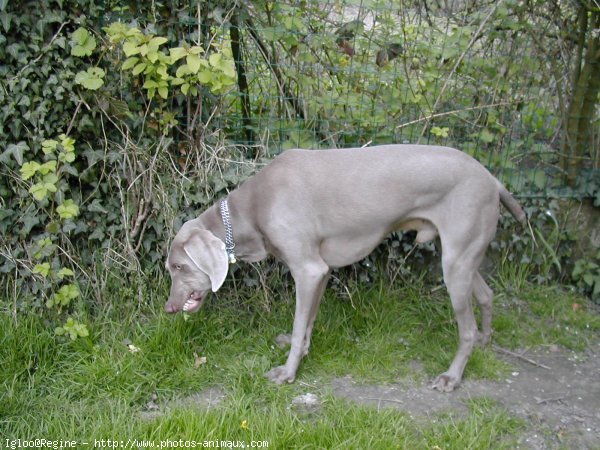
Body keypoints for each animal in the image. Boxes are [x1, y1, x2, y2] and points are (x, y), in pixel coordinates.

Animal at [164, 146, 524, 392]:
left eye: (178, 266)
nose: (169, 308)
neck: (252, 208)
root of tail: (492, 178)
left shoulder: (308, 270)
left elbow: (299, 323)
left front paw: (287, 372)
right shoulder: (321, 272)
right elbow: (307, 323)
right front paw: (302, 351)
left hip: (456, 261)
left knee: (467, 328)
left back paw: (452, 376)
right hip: (462, 256)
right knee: (487, 295)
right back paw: (485, 341)